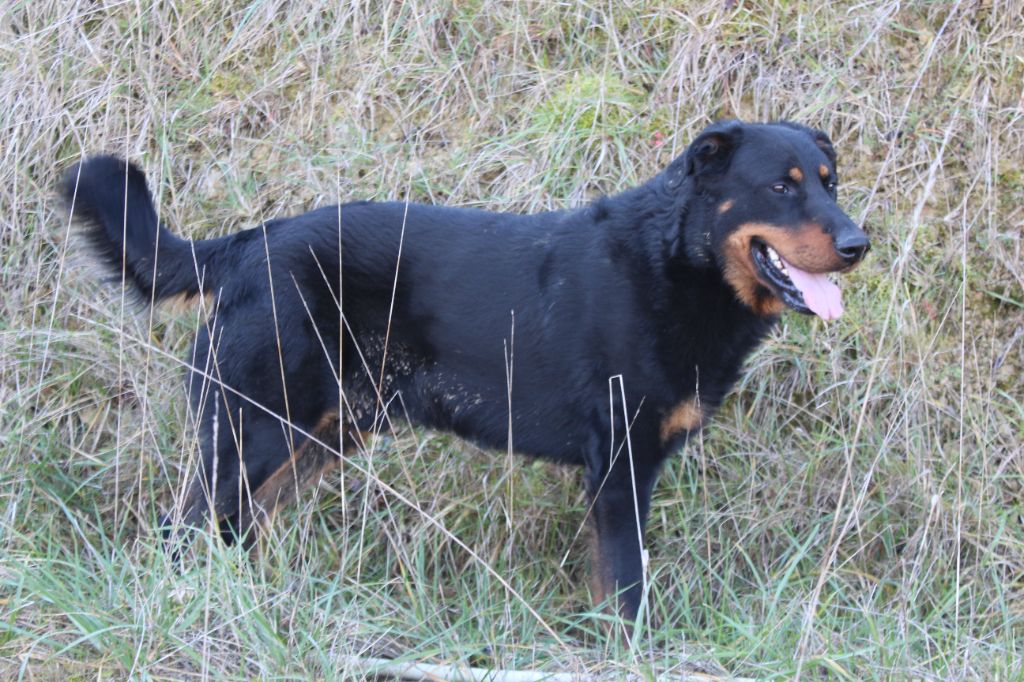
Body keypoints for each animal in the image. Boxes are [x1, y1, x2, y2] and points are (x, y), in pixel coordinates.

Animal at [61, 120, 869, 627]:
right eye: (781, 187)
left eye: (828, 182)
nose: (859, 243)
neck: (675, 264)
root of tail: (246, 244)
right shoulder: (619, 466)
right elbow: (626, 587)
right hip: (254, 428)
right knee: (185, 529)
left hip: (318, 434)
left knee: (235, 527)